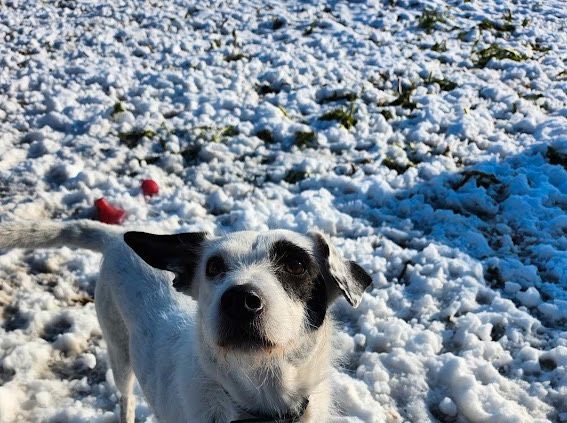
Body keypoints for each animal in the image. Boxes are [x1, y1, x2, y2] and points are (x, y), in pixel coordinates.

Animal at [0, 222, 372, 423]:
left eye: (296, 264)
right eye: (213, 266)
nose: (239, 300)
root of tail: (115, 235)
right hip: (118, 351)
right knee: (125, 397)